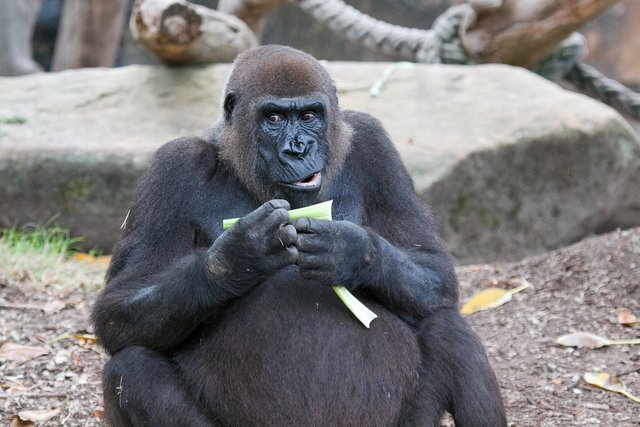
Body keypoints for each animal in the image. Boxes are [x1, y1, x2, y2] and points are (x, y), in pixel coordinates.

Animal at [92, 45, 508, 426]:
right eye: (274, 118)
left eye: (309, 116)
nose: (298, 149)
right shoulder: (173, 166)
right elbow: (119, 308)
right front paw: (236, 258)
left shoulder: (373, 143)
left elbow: (435, 272)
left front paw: (352, 252)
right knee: (130, 368)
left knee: (446, 327)